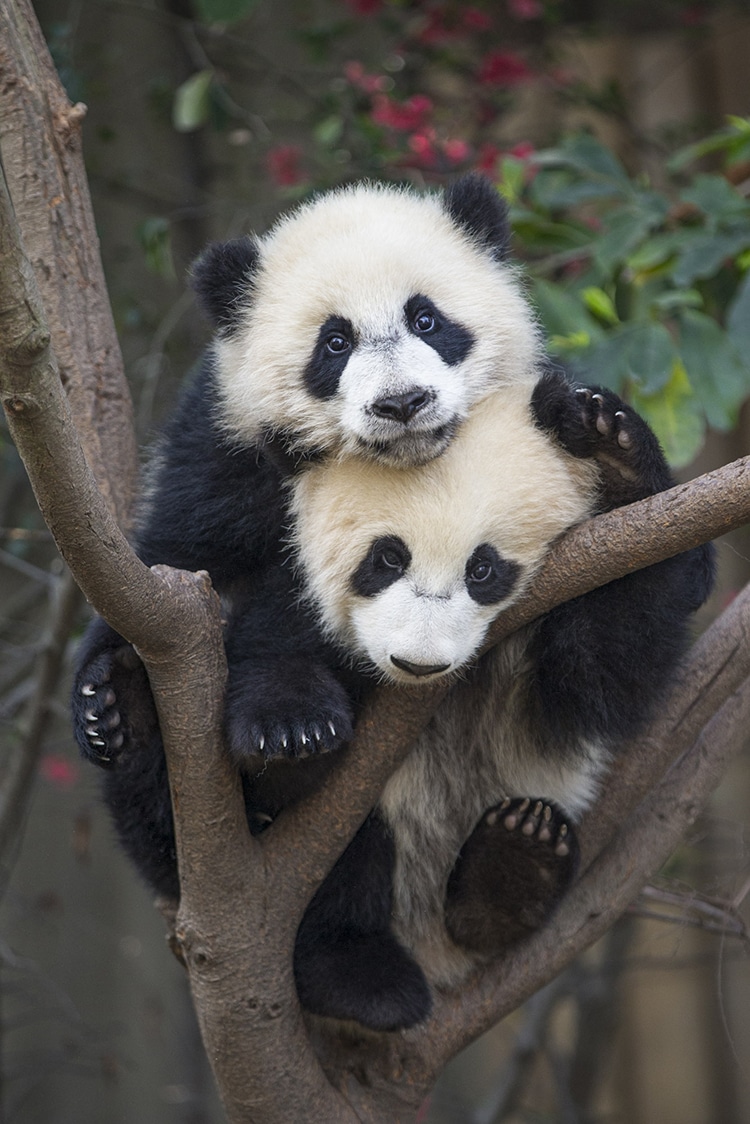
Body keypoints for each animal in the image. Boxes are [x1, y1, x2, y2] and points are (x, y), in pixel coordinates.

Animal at [70, 173, 715, 1034]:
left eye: (427, 319)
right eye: (334, 343)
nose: (402, 402)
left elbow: (606, 669)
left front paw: (608, 440)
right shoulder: (221, 455)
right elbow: (188, 566)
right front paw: (286, 719)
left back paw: (509, 875)